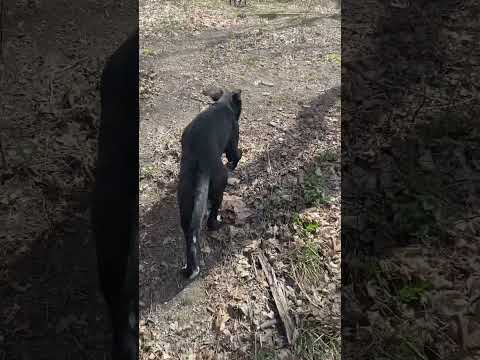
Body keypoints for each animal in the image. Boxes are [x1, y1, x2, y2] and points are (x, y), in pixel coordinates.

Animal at [177, 87, 244, 278]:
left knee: (190, 234)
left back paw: (190, 268)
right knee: (211, 219)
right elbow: (237, 155)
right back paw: (218, 223)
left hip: (186, 200)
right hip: (220, 186)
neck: (223, 104)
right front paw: (234, 164)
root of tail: (201, 163)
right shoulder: (232, 143)